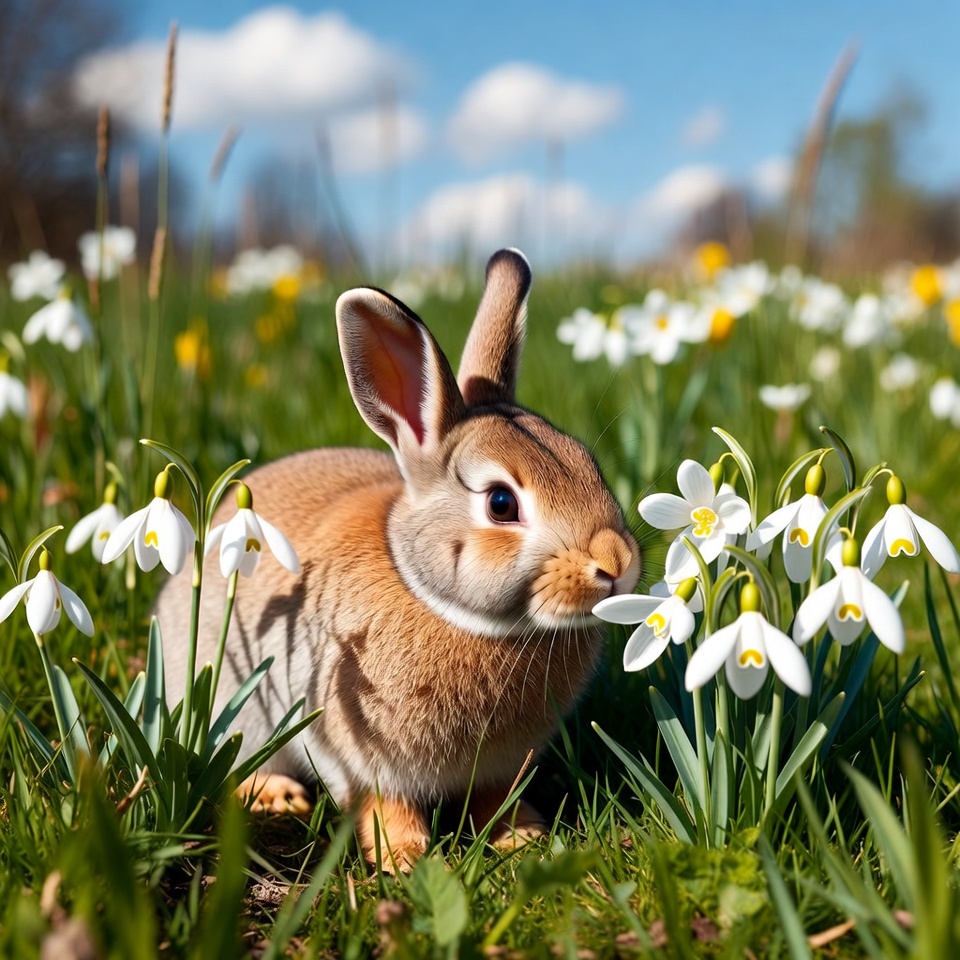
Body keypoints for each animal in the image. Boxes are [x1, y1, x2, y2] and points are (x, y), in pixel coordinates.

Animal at [156, 248, 640, 869]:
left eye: (588, 464)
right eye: (501, 503)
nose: (616, 565)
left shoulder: (501, 765)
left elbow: (493, 797)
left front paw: (523, 836)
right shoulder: (355, 748)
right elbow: (385, 804)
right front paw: (406, 858)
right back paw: (279, 795)